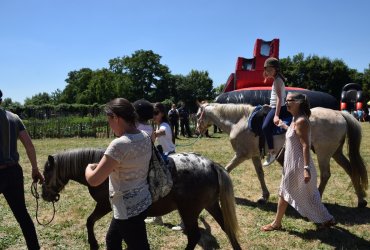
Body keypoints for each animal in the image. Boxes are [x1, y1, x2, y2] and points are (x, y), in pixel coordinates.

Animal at [41, 148, 243, 250]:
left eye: (46, 172)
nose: (44, 195)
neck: (102, 170)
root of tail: (211, 164)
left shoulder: (104, 205)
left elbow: (90, 221)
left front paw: (93, 243)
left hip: (189, 211)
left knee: (194, 237)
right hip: (211, 205)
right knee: (227, 228)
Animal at [197, 102, 368, 208]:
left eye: (198, 114)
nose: (198, 130)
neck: (239, 121)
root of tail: (339, 113)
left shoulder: (241, 155)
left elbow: (226, 169)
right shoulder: (254, 155)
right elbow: (260, 174)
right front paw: (264, 196)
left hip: (323, 153)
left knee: (326, 174)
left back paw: (318, 197)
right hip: (336, 153)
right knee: (351, 170)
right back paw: (361, 200)